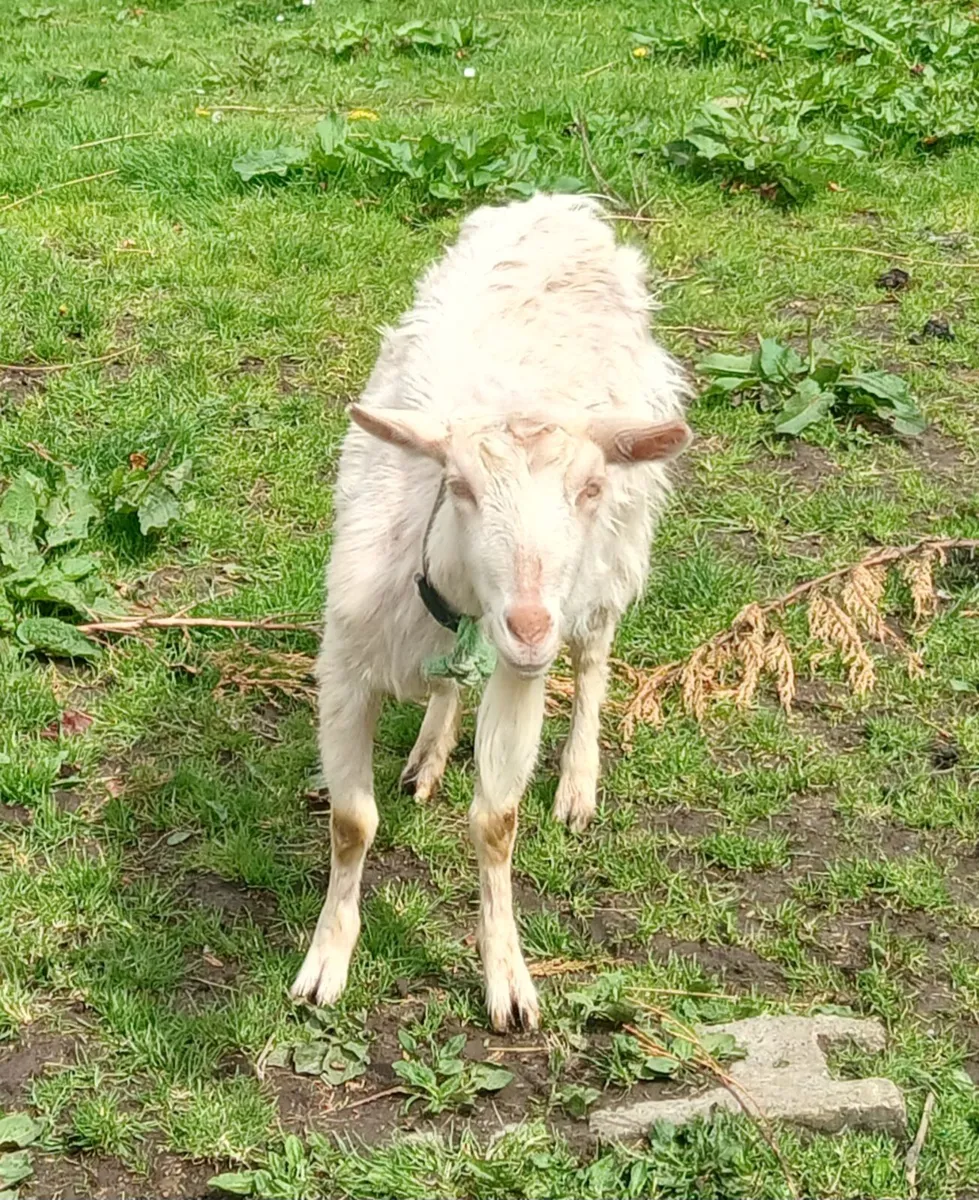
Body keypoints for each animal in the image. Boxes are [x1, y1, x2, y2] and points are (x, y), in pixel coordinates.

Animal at [291, 193, 691, 1032]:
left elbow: (496, 823)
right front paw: (324, 965)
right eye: (461, 486)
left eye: (589, 488)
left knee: (595, 660)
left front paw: (507, 979)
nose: (531, 628)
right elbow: (352, 822)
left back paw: (575, 783)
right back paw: (430, 750)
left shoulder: (518, 678)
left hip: (610, 564)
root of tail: (561, 203)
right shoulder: (344, 667)